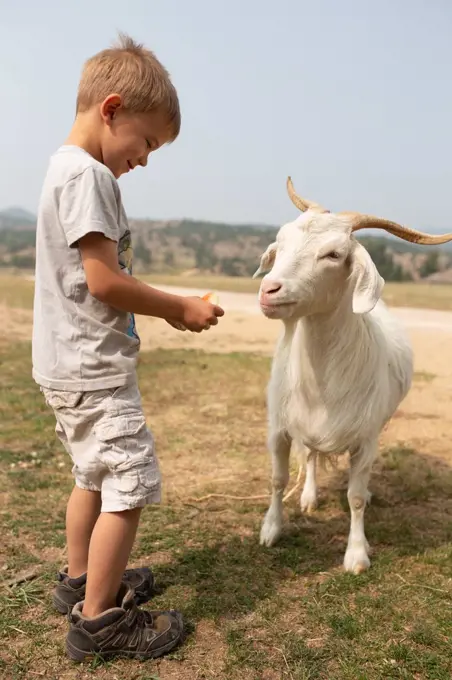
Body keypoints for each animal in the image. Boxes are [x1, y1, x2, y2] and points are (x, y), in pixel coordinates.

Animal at [256, 177, 452, 572]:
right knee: (310, 456)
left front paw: (357, 554)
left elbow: (356, 497)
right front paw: (271, 529)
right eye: (280, 241)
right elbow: (278, 478)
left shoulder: (366, 439)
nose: (269, 291)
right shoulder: (279, 428)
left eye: (333, 254)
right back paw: (310, 496)